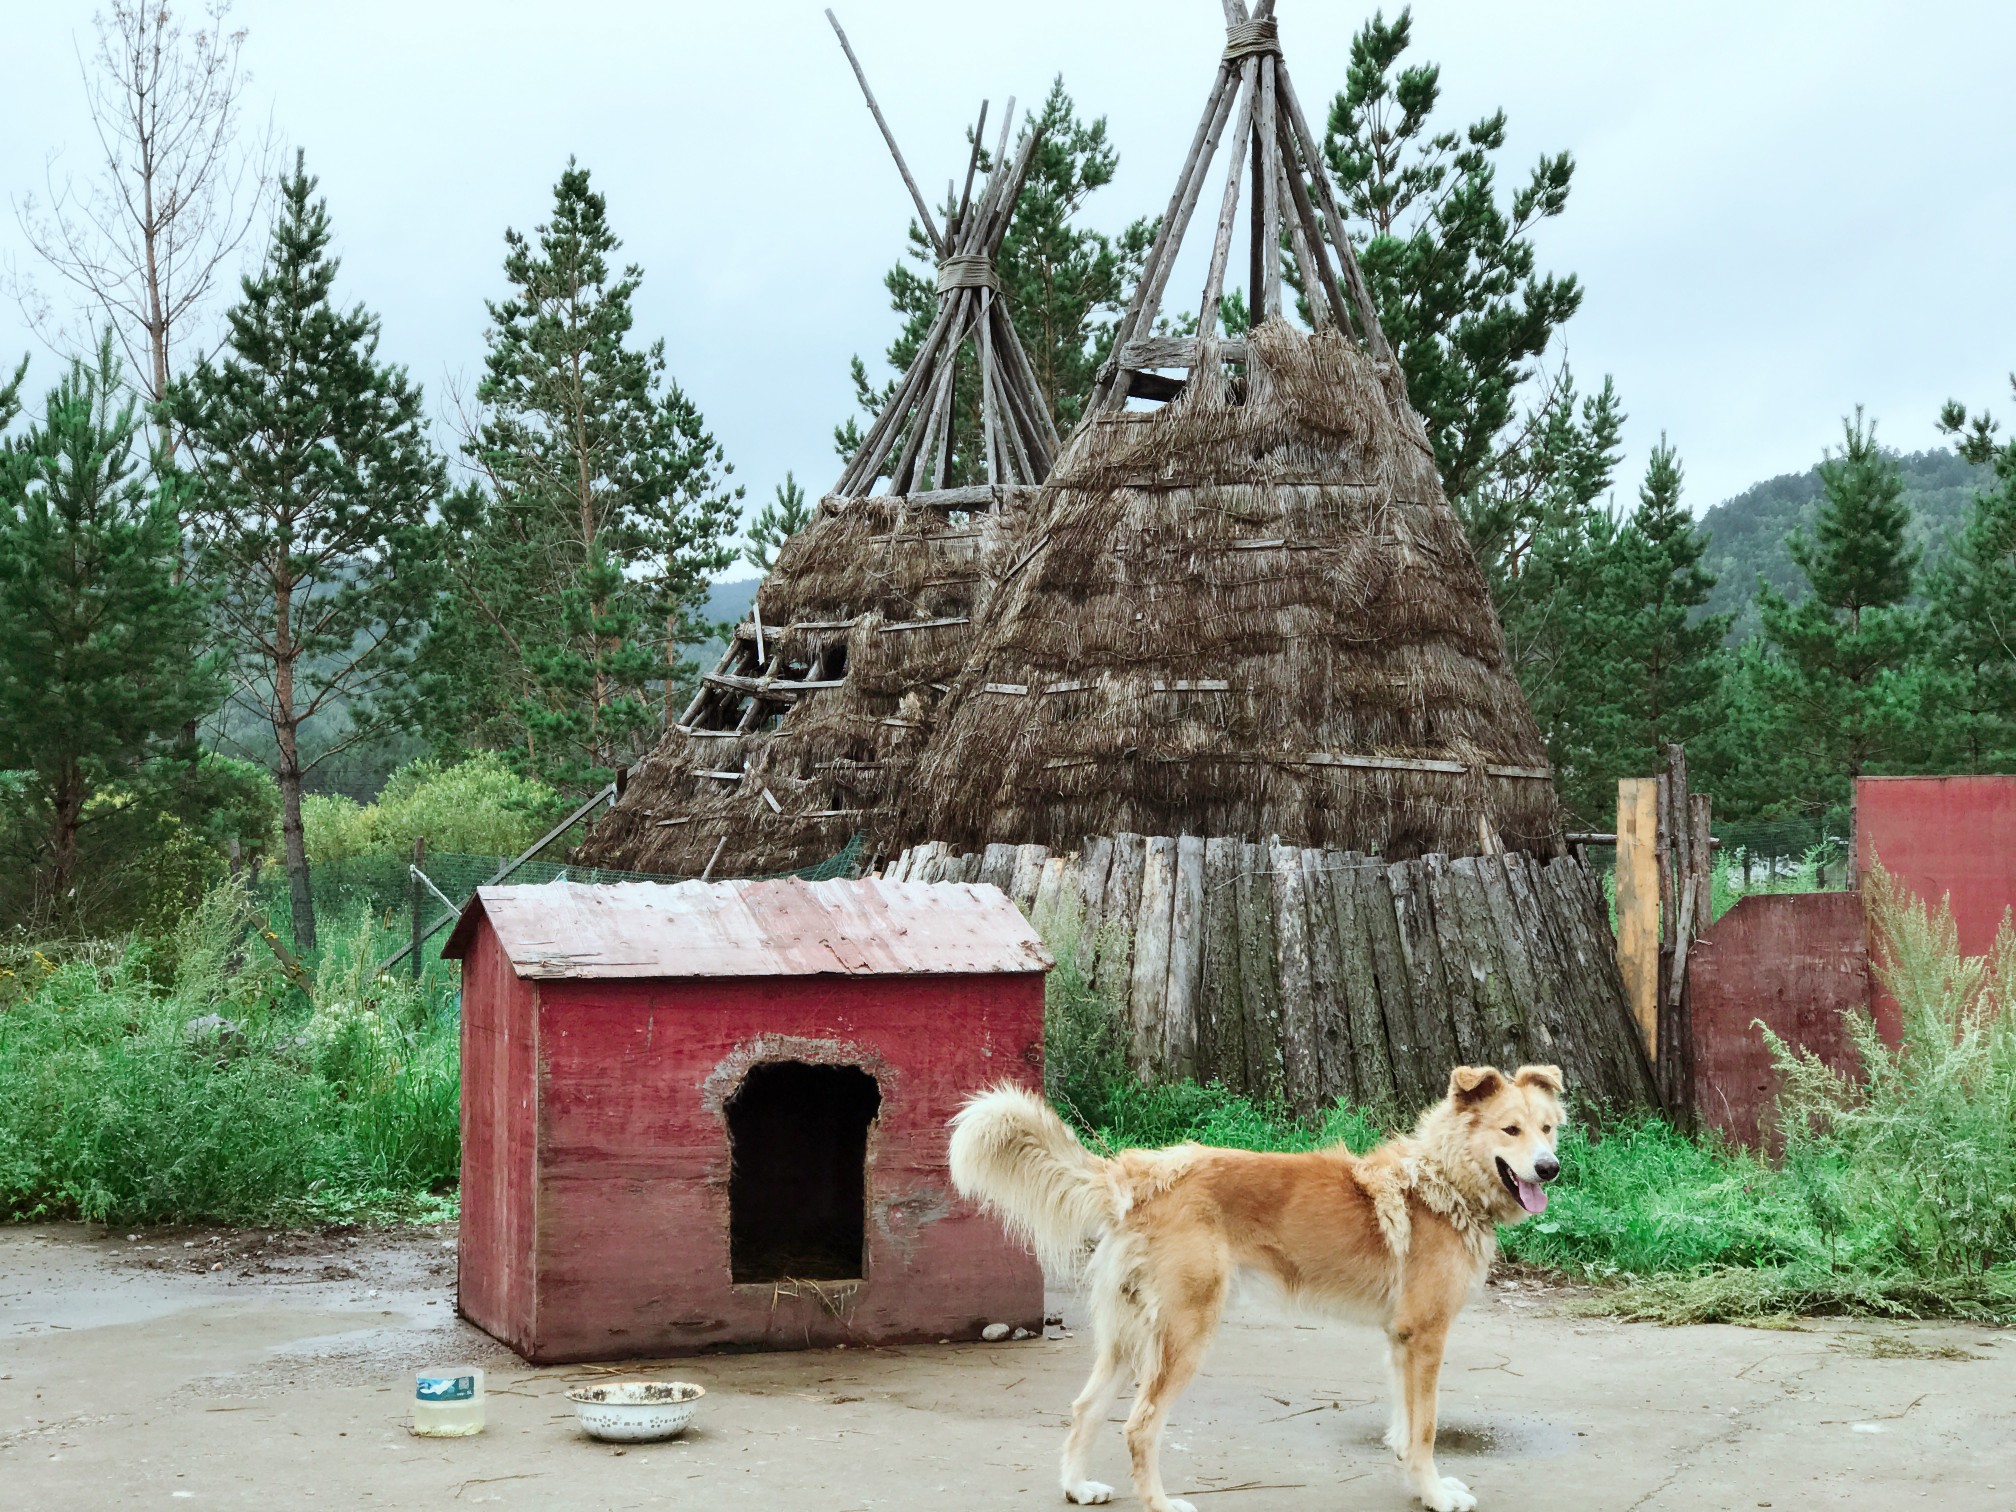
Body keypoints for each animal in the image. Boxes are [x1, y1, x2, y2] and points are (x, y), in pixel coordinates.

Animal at [951, 1064, 1564, 1512]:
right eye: (1510, 1130)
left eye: (1548, 1128)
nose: (1550, 1167)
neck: (1442, 1182)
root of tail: (1142, 1175)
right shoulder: (1428, 1337)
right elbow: (1427, 1429)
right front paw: (1434, 1494)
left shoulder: (1400, 1340)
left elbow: (1404, 1427)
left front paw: (1418, 1484)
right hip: (1185, 1336)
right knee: (1139, 1426)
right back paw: (1161, 1504)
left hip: (1126, 1337)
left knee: (1085, 1409)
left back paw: (1078, 1488)